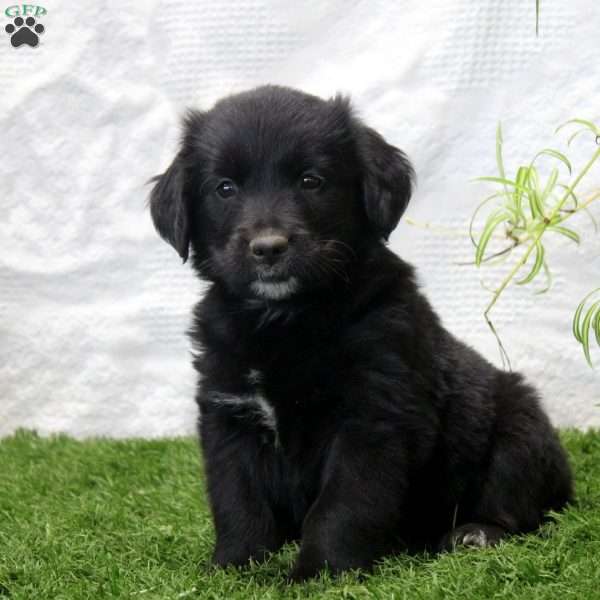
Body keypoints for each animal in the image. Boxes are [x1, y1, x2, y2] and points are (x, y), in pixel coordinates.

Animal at [149, 85, 572, 580]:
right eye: (225, 188)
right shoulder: (229, 414)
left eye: (311, 180)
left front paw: (319, 572)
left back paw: (475, 534)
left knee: (517, 505)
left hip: (519, 430)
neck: (287, 319)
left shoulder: (371, 416)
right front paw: (236, 566)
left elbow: (343, 504)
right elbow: (238, 499)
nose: (268, 248)